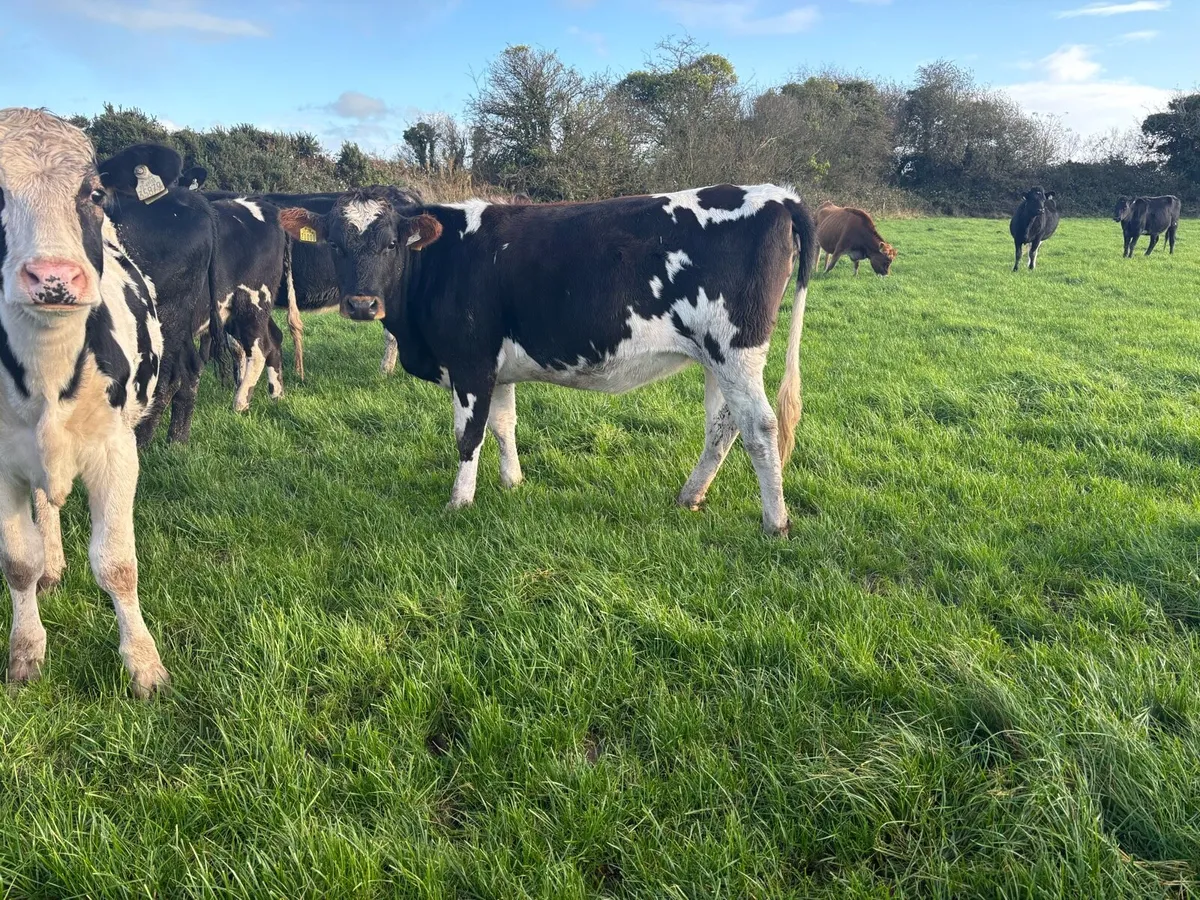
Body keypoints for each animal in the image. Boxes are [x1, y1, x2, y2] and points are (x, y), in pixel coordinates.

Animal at [1, 108, 170, 696]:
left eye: (93, 194)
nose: (53, 277)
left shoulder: (116, 451)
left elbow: (117, 563)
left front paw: (143, 664)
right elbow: (17, 561)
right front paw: (26, 651)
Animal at [280, 183, 818, 535]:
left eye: (391, 243)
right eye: (334, 243)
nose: (361, 304)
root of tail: (776, 193)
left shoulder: (470, 362)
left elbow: (468, 435)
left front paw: (459, 502)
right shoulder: (497, 370)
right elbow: (503, 424)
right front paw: (511, 483)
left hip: (735, 350)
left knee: (760, 425)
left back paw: (775, 521)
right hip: (713, 358)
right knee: (723, 426)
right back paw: (691, 496)